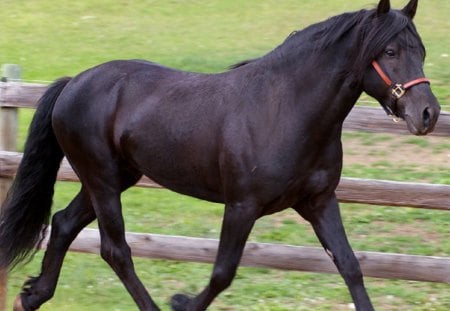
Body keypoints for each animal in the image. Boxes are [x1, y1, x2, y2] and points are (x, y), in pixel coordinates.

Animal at [0, 0, 440, 311]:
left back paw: (30, 297)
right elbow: (222, 273)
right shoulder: (242, 205)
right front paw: (181, 303)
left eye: (421, 50)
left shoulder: (318, 201)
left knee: (63, 224)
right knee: (115, 250)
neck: (285, 109)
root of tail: (74, 82)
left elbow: (350, 266)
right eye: (389, 51)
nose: (428, 113)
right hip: (103, 179)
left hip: (112, 178)